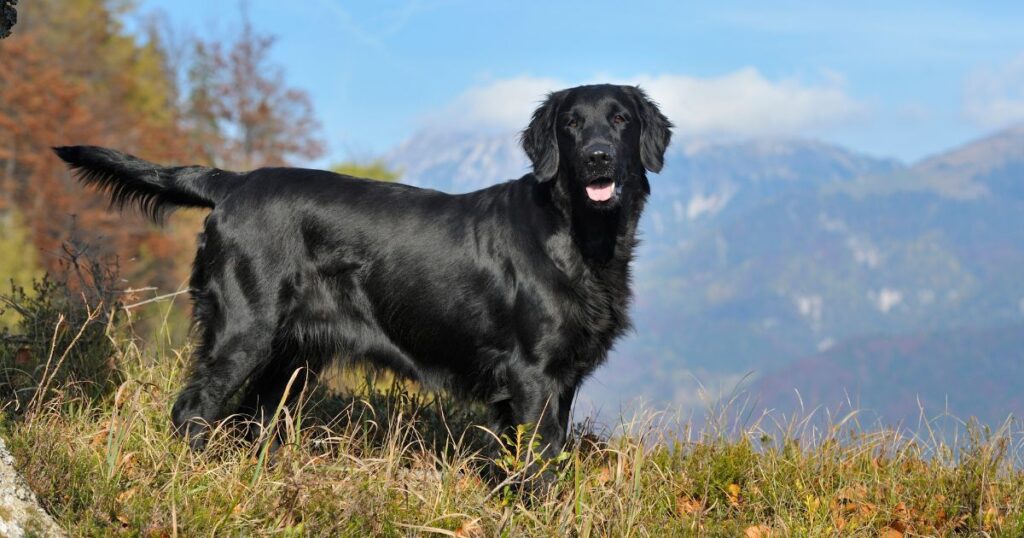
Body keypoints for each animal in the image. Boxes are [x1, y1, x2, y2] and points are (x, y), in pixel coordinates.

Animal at [54, 83, 671, 461]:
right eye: (572, 123)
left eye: (620, 119)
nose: (597, 157)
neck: (580, 236)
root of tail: (233, 182)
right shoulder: (533, 376)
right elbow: (537, 468)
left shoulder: (563, 379)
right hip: (243, 332)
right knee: (193, 411)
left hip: (290, 358)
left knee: (249, 419)